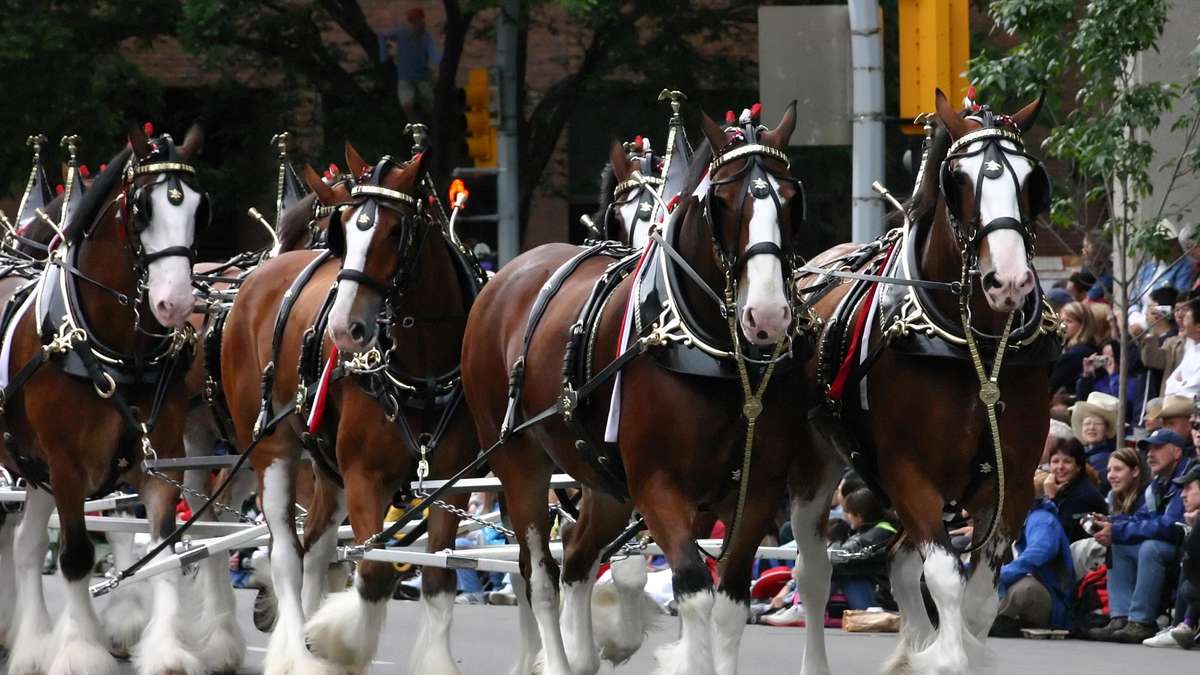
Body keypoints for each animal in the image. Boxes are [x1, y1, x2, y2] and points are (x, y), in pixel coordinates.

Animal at [0, 124, 209, 675]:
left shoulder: (161, 460)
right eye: (141, 209)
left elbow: (162, 554)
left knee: (26, 545)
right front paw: (78, 652)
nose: (175, 302)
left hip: (31, 466)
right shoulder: (67, 465)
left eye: (199, 207)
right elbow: (75, 557)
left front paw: (166, 653)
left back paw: (28, 643)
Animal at [220, 146, 483, 674]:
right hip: (273, 449)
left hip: (325, 464)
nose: (344, 328)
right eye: (344, 230)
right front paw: (331, 642)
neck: (421, 370)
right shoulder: (366, 476)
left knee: (316, 548)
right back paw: (295, 651)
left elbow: (440, 578)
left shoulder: (453, 483)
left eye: (395, 231)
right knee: (287, 554)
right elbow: (375, 570)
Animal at [461, 103, 840, 675]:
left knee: (576, 555)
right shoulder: (658, 486)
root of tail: (507, 276)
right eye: (722, 201)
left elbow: (729, 600)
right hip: (517, 459)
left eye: (792, 198)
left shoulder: (756, 490)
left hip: (601, 479)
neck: (720, 358)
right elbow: (694, 590)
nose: (769, 315)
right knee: (541, 574)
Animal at [798, 89, 1056, 675]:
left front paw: (951, 651)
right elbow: (944, 580)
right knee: (815, 573)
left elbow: (979, 597)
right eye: (957, 180)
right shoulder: (909, 472)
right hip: (814, 466)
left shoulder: (1012, 482)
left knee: (895, 566)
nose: (1009, 282)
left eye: (1033, 180)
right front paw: (948, 658)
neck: (974, 346)